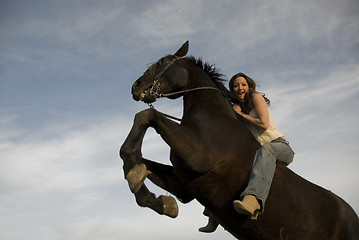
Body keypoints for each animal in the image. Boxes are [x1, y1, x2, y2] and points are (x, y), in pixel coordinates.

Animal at [119, 41, 358, 240]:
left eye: (163, 61)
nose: (135, 86)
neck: (213, 114)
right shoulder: (183, 184)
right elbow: (145, 167)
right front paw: (162, 201)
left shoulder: (197, 155)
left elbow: (146, 116)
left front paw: (135, 175)